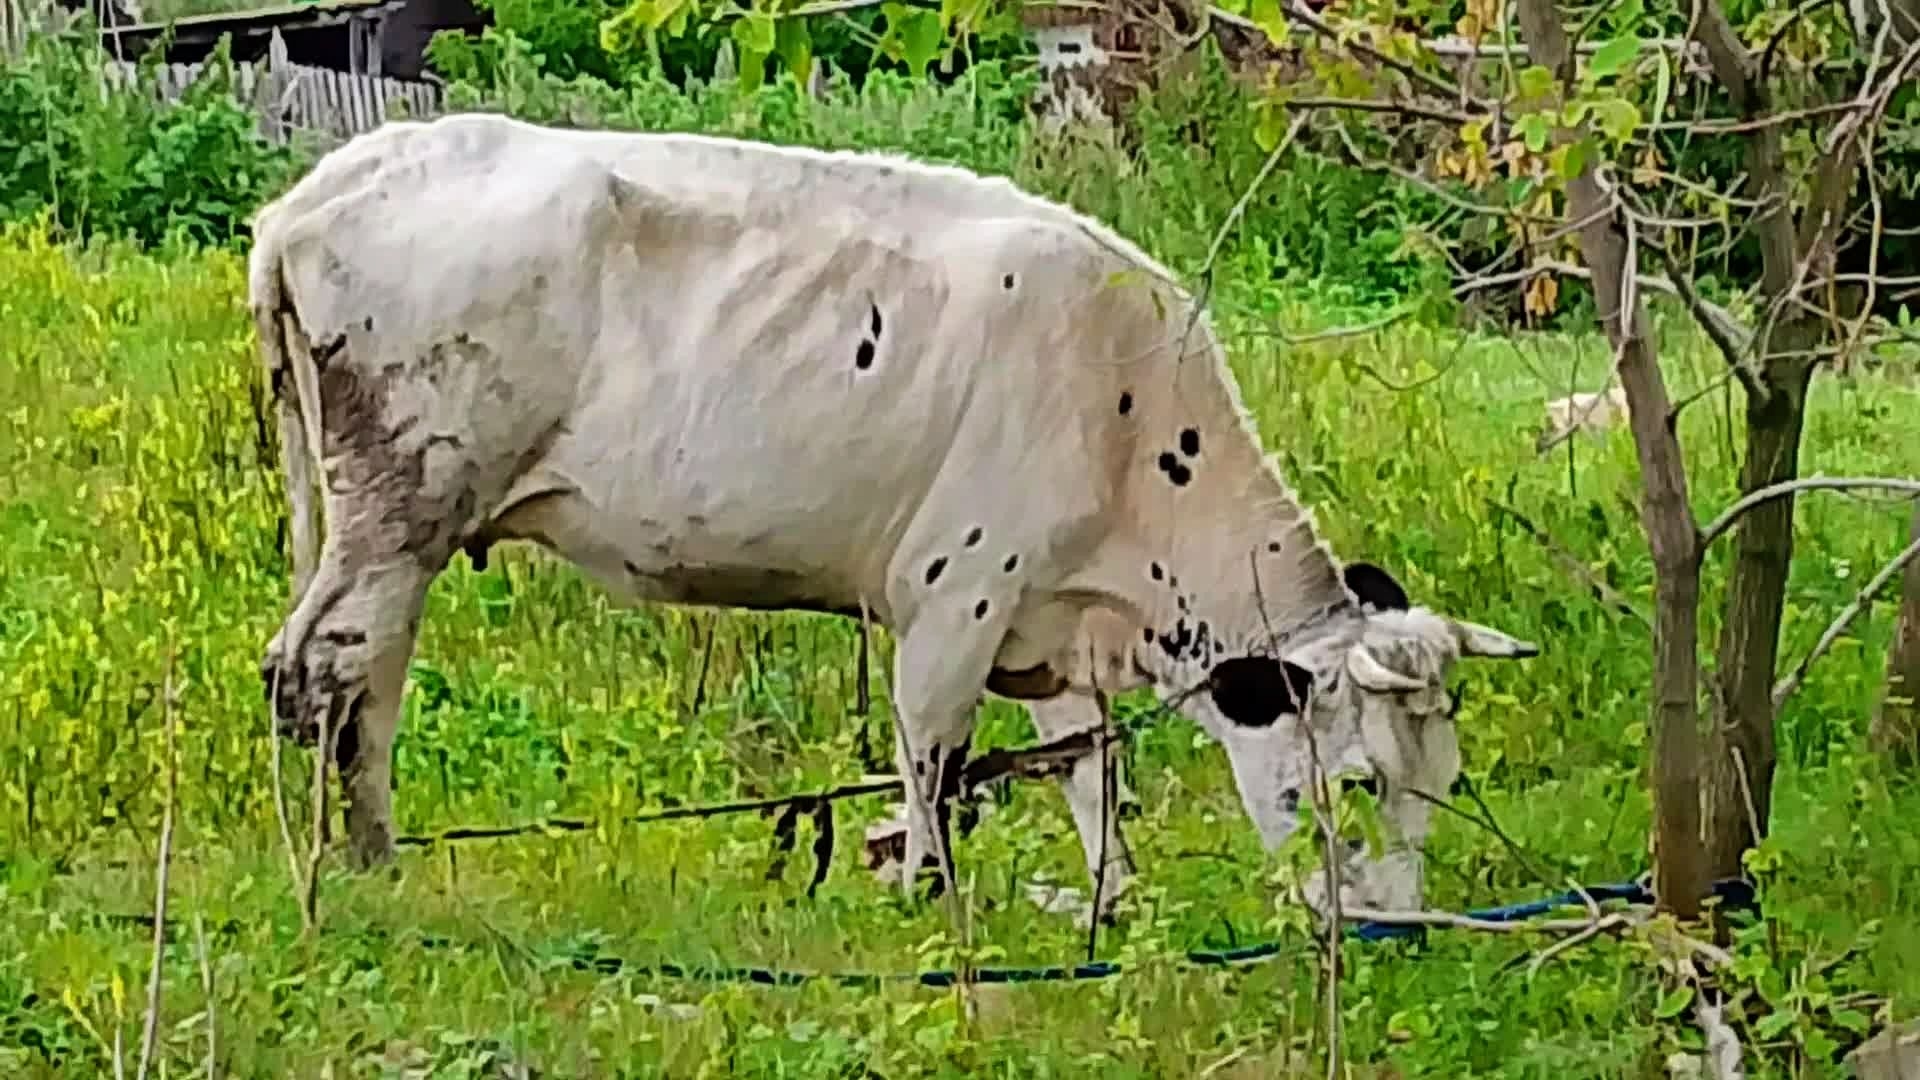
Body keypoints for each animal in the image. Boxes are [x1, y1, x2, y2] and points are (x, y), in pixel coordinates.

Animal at [248, 112, 1538, 924]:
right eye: (1360, 782)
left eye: (1443, 779)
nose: (1395, 932)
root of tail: (315, 193)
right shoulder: (957, 593)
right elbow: (931, 753)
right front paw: (931, 897)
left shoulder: (1054, 628)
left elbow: (1087, 771)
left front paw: (1111, 904)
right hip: (402, 501)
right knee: (322, 669)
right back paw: (354, 862)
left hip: (375, 520)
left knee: (361, 667)